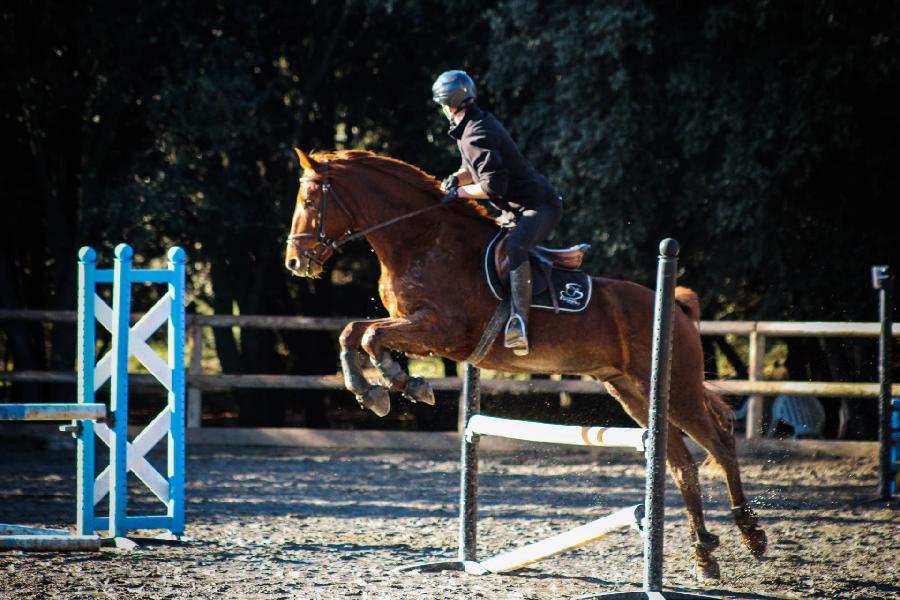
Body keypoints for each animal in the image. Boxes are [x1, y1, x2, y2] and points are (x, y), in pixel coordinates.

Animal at [284, 148, 768, 580]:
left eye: (308, 201)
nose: (295, 261)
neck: (421, 240)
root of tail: (678, 309)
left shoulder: (440, 330)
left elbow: (367, 334)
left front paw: (396, 384)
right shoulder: (422, 331)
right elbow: (354, 332)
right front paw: (381, 388)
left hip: (675, 387)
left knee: (720, 444)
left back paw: (750, 534)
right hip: (633, 392)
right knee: (681, 463)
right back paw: (704, 552)